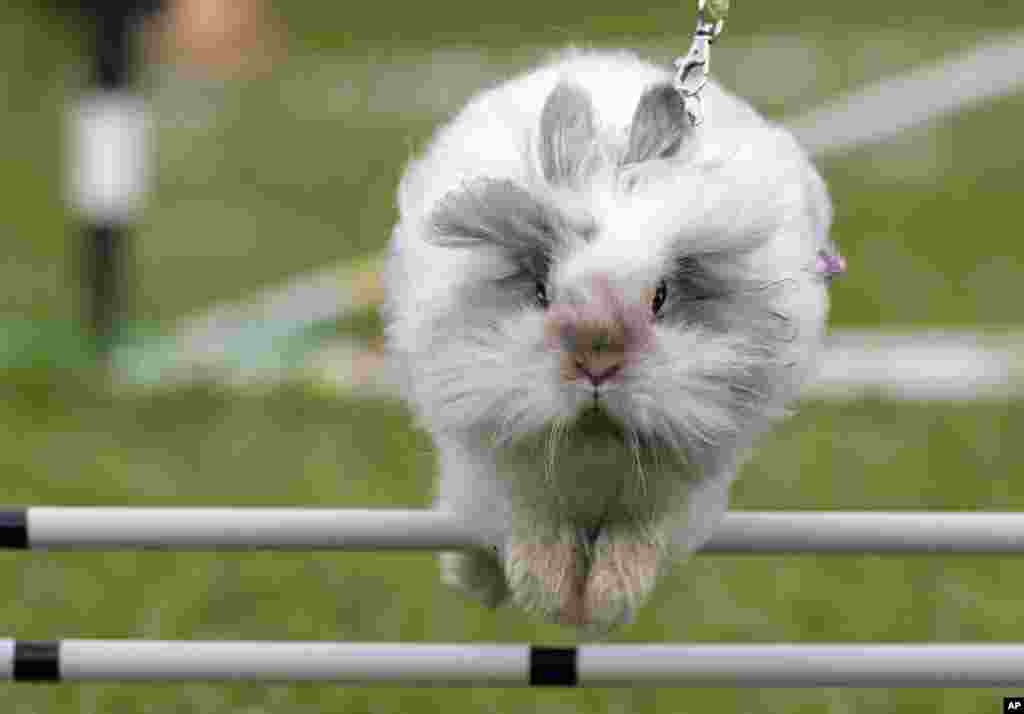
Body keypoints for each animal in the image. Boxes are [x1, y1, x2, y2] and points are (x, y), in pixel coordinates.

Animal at [380, 47, 835, 631]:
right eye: (541, 291)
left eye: (660, 297)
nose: (597, 365)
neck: (594, 444)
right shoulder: (499, 461)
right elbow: (531, 523)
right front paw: (548, 596)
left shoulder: (683, 486)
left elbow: (640, 534)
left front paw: (605, 604)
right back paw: (476, 580)